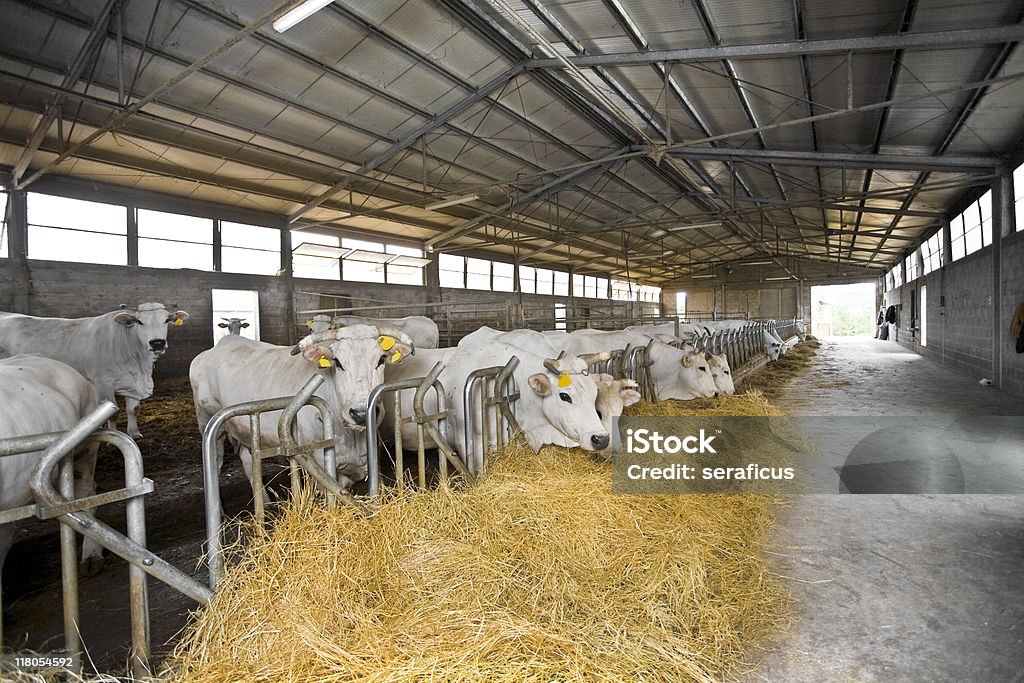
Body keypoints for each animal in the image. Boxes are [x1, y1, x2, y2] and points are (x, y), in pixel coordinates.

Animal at [0, 303, 190, 438]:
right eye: (140, 322)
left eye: (166, 320)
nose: (157, 343)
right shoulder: (103, 383)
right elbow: (113, 414)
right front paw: (114, 435)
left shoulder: (132, 382)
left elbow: (133, 409)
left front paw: (134, 433)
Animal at [190, 325, 413, 491]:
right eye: (337, 362)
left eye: (381, 359)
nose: (360, 414)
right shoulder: (323, 466)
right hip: (208, 423)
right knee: (216, 462)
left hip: (246, 430)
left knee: (248, 460)